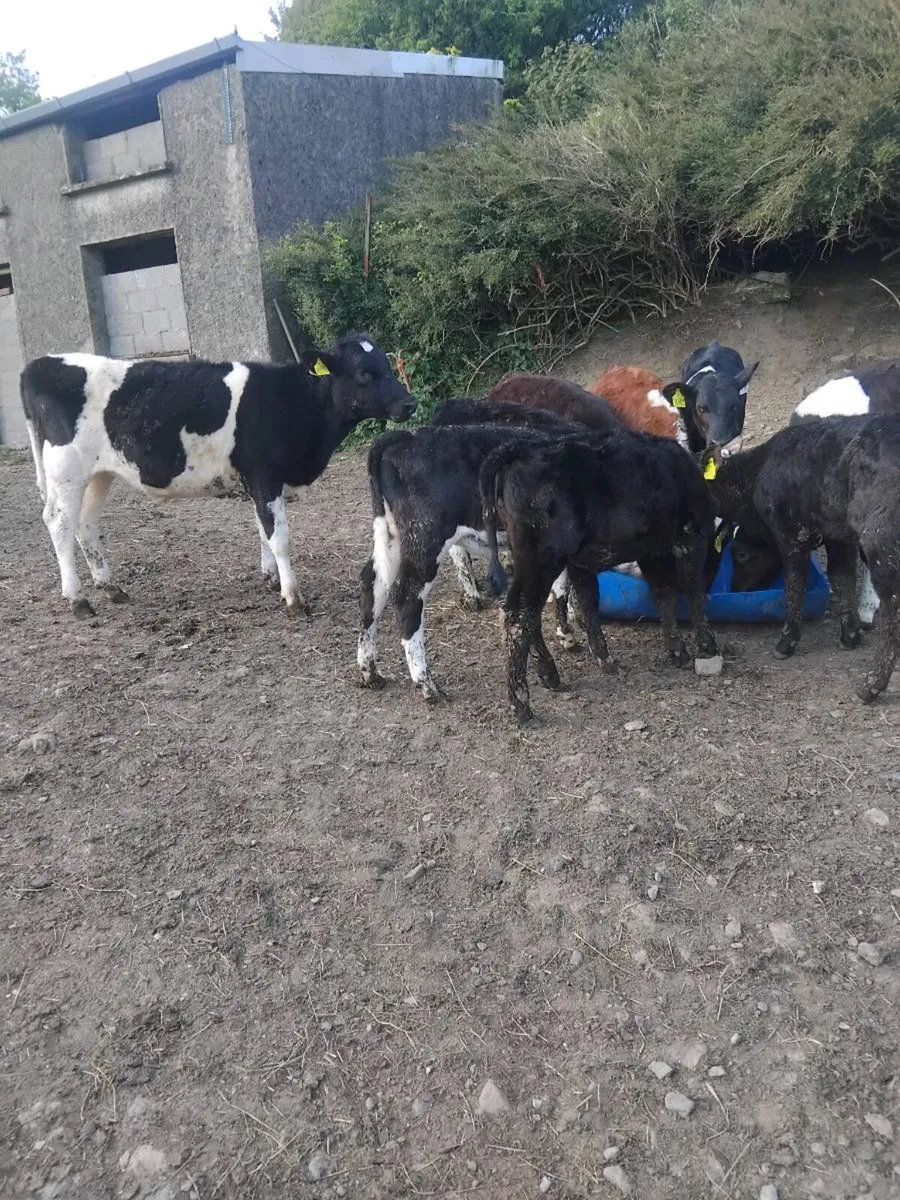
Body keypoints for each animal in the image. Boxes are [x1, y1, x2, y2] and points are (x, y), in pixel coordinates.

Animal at [21, 334, 416, 618]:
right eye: (364, 372)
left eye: (387, 364)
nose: (409, 403)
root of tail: (41, 362)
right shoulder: (265, 475)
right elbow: (279, 537)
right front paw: (293, 596)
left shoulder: (258, 481)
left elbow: (263, 529)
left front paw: (270, 578)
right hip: (66, 470)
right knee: (58, 523)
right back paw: (77, 600)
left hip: (99, 473)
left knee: (85, 523)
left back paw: (111, 588)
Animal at [480, 431, 720, 724]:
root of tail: (518, 451)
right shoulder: (688, 538)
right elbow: (694, 591)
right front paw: (707, 647)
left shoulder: (646, 551)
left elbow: (639, 596)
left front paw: (669, 650)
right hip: (541, 560)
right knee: (517, 614)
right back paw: (521, 703)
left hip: (529, 561)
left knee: (530, 616)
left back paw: (549, 673)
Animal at [701, 416, 900, 702]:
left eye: (741, 554)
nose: (736, 588)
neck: (756, 474)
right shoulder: (837, 533)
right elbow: (841, 576)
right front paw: (849, 635)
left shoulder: (789, 533)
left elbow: (795, 583)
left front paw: (787, 642)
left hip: (880, 539)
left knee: (892, 606)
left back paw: (871, 685)